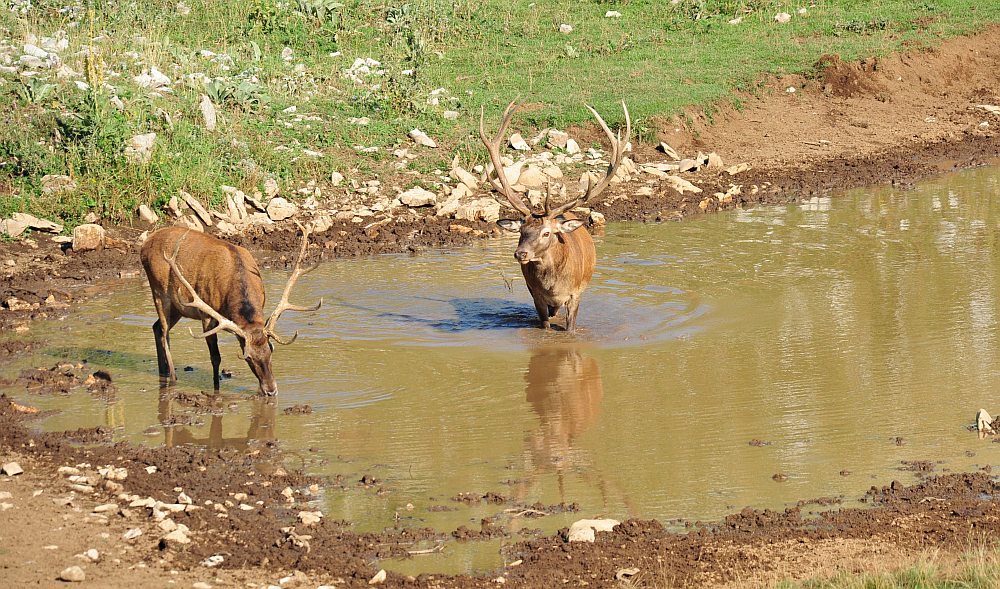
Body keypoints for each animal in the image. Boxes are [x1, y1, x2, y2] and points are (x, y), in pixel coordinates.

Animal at [139, 222, 320, 396]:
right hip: (159, 292)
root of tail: (145, 244)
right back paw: (172, 379)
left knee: (156, 327)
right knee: (164, 333)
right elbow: (215, 357)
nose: (271, 390)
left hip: (178, 308)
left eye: (271, 351)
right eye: (248, 358)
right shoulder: (207, 316)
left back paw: (163, 372)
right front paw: (216, 390)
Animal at [478, 100, 632, 330]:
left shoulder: (575, 294)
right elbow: (545, 325)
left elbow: (570, 328)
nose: (520, 254)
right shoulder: (537, 296)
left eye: (546, 233)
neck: (554, 286)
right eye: (521, 231)